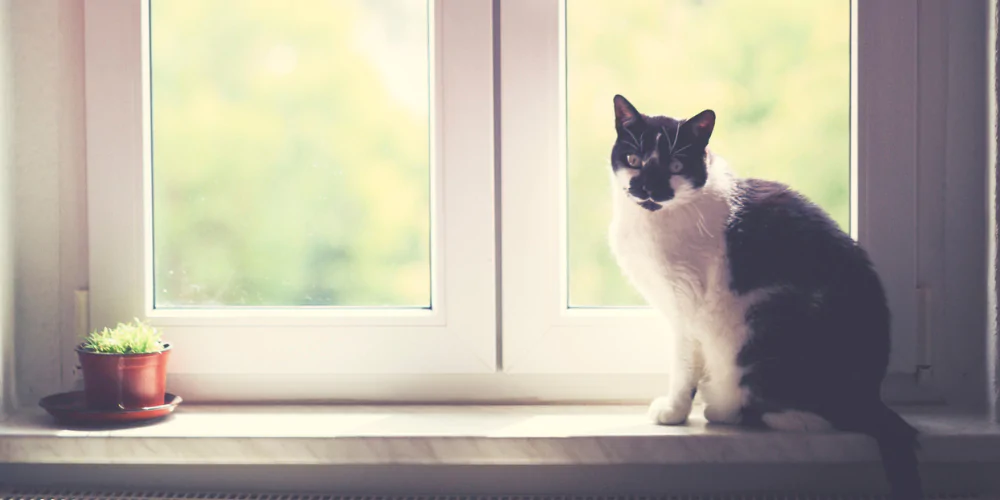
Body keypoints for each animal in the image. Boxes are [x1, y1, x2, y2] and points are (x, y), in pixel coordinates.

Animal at [608, 95, 920, 498]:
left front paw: (673, 413)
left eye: (676, 165)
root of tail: (871, 397)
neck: (652, 221)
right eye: (633, 159)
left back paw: (726, 409)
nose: (646, 187)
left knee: (810, 418)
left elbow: (682, 367)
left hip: (763, 324)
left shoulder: (687, 307)